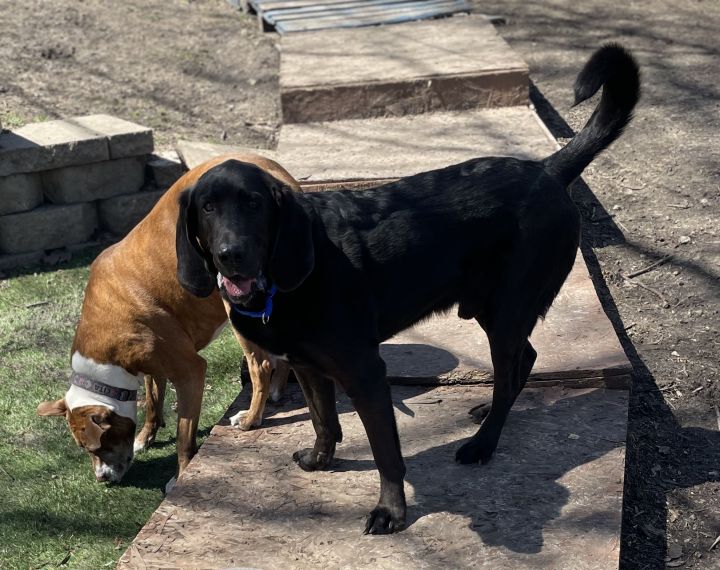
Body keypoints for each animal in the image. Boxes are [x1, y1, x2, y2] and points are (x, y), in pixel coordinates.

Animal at [35, 153, 296, 486]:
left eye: (96, 446)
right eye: (84, 449)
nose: (102, 479)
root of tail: (273, 172)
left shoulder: (189, 372)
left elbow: (184, 435)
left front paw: (181, 475)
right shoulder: (151, 364)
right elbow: (153, 398)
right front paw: (145, 436)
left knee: (259, 365)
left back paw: (251, 418)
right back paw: (276, 391)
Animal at [177, 44, 640, 532]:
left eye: (254, 204)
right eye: (207, 207)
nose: (232, 254)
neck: (285, 286)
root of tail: (547, 170)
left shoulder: (366, 374)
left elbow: (386, 454)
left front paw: (391, 512)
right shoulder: (308, 367)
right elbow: (324, 422)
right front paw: (320, 461)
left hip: (508, 309)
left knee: (514, 364)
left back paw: (483, 442)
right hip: (493, 309)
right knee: (523, 361)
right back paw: (488, 414)